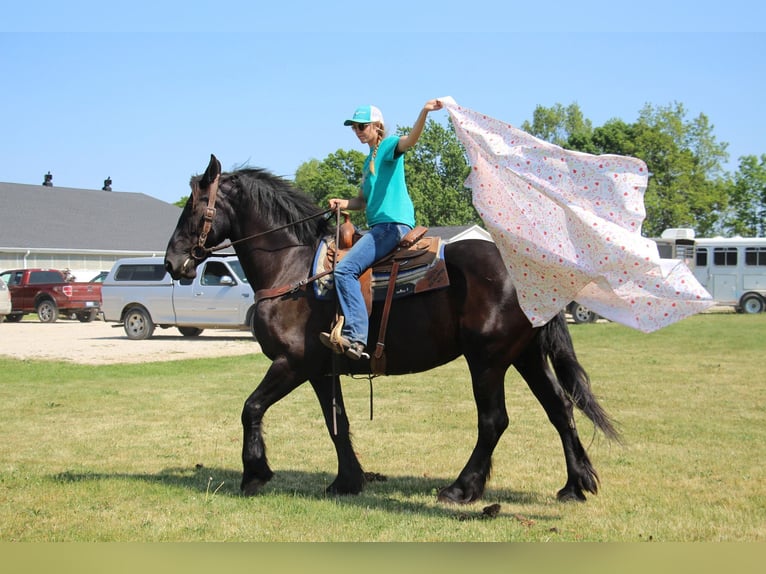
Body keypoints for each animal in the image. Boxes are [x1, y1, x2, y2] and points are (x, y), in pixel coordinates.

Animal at [165, 154, 620, 504]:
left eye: (193, 207)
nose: (172, 262)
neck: (292, 270)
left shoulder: (291, 363)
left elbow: (251, 408)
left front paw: (255, 473)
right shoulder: (320, 370)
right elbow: (337, 422)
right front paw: (347, 481)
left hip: (487, 361)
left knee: (494, 421)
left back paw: (461, 488)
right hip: (525, 356)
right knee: (560, 409)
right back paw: (575, 485)